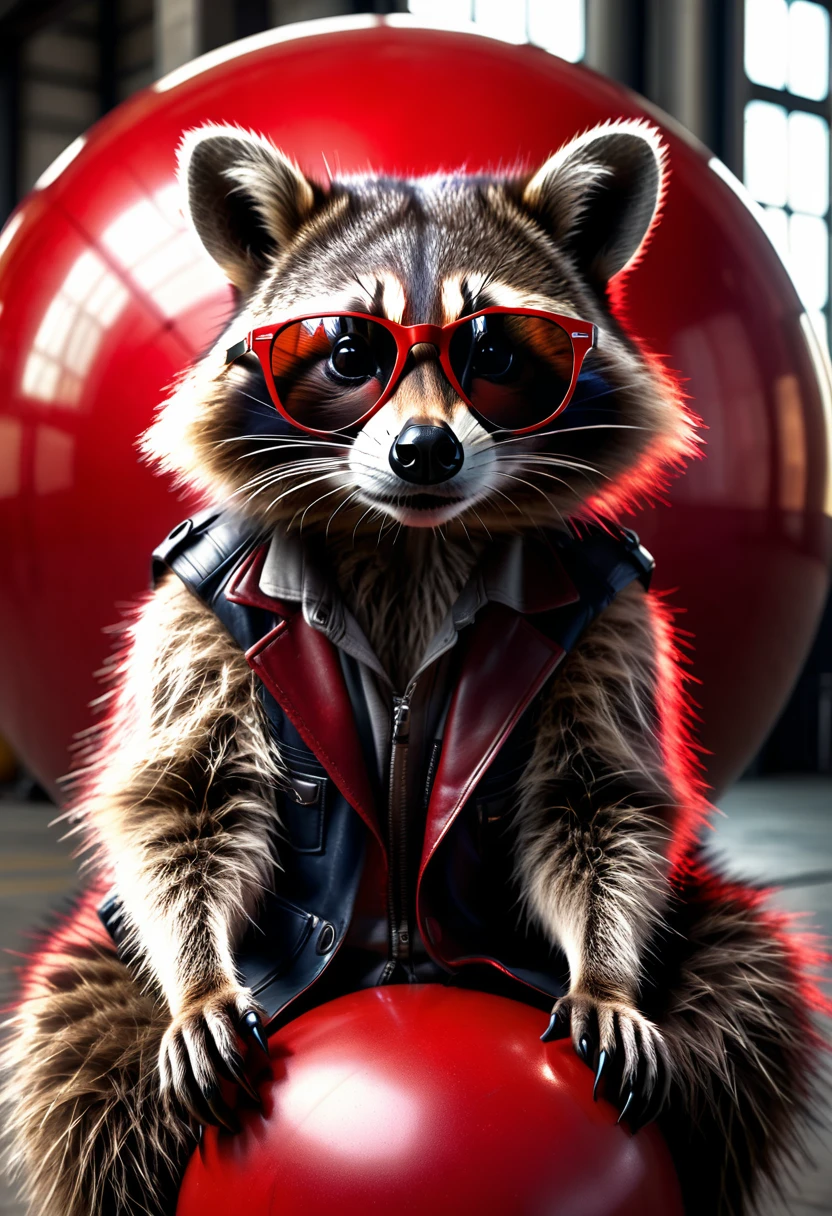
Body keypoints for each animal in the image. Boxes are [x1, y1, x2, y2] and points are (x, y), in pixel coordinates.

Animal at [0, 120, 817, 1216]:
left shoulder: (610, 611)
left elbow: (595, 797)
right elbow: (184, 793)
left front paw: (602, 970)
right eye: (351, 351)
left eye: (496, 351)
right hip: (97, 980)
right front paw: (203, 972)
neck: (408, 540)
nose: (424, 450)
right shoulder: (193, 610)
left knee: (744, 1000)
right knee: (78, 1060)